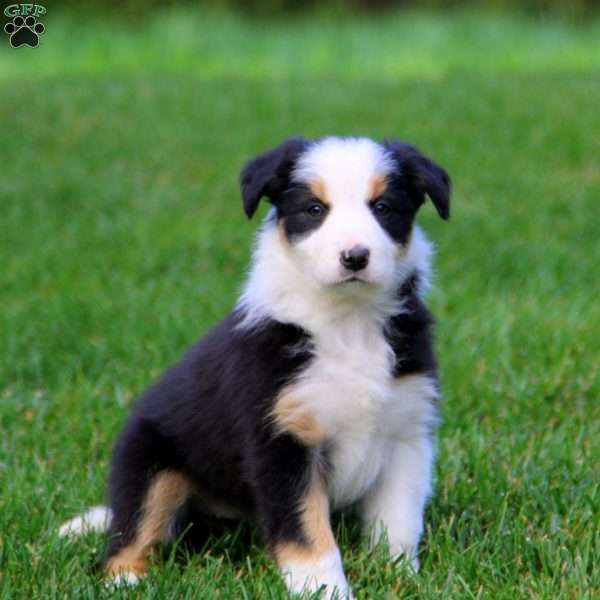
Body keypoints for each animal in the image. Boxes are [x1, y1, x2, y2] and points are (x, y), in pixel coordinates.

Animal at [61, 137, 452, 600]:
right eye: (314, 210)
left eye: (383, 208)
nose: (355, 257)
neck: (347, 321)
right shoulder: (281, 439)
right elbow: (307, 532)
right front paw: (324, 589)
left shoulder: (406, 433)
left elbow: (398, 522)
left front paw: (400, 577)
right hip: (151, 460)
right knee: (132, 529)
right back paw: (127, 579)